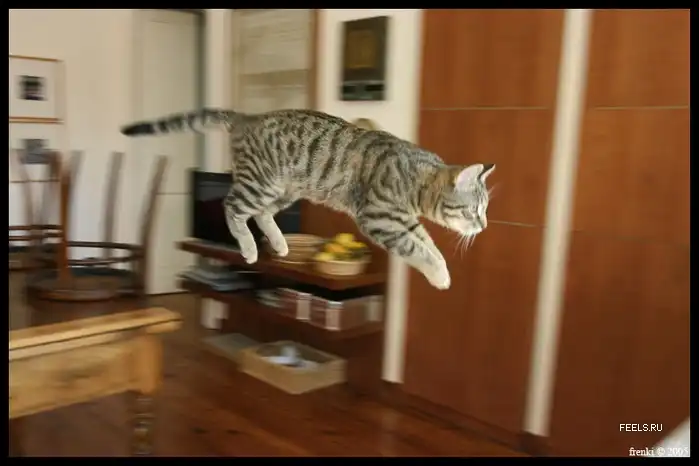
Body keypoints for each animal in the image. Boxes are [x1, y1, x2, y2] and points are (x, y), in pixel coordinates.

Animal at [121, 108, 495, 290]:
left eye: (484, 210)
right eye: (474, 210)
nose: (484, 225)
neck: (415, 179)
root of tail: (246, 117)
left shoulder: (405, 222)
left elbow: (429, 246)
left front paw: (440, 268)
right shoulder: (380, 220)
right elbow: (420, 251)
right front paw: (440, 277)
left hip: (284, 190)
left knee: (261, 215)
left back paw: (280, 245)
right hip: (261, 182)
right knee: (233, 208)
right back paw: (249, 249)